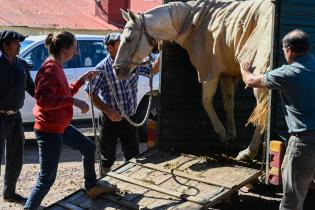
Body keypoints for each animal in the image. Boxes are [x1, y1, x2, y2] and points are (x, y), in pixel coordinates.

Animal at [113, 0, 274, 160]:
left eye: (128, 39)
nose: (117, 69)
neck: (191, 20)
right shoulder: (225, 73)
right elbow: (228, 104)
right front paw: (231, 136)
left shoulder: (210, 71)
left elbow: (206, 102)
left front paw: (223, 135)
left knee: (262, 107)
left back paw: (248, 152)